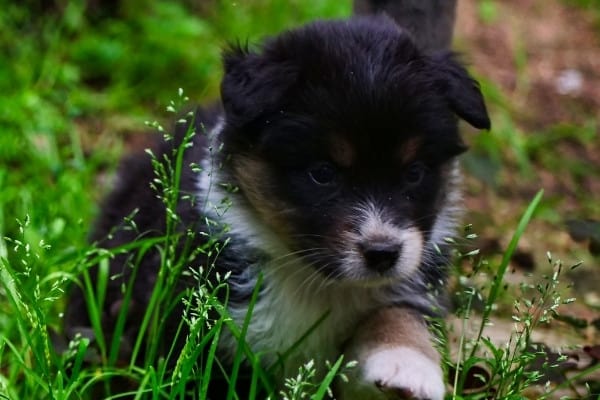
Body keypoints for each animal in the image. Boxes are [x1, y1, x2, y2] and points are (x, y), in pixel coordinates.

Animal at [65, 14, 490, 400]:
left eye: (414, 173)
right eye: (322, 173)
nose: (383, 253)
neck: (313, 283)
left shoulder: (411, 281)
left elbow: (398, 312)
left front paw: (407, 365)